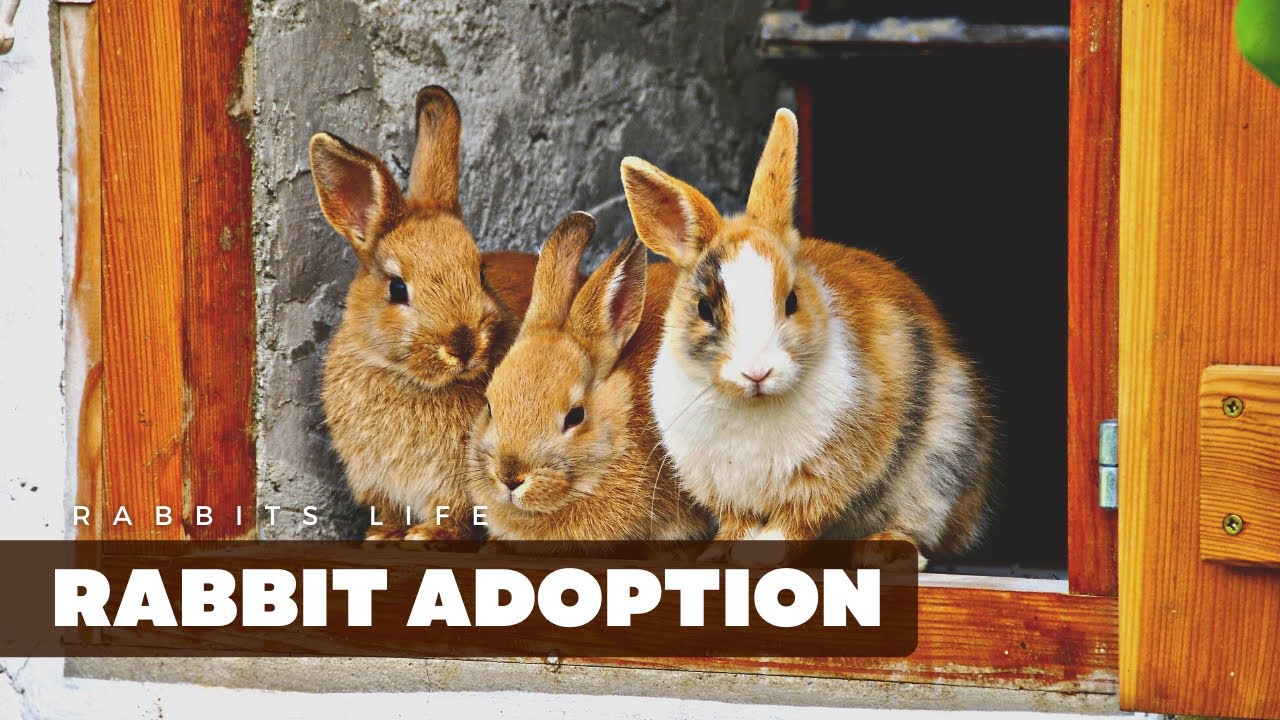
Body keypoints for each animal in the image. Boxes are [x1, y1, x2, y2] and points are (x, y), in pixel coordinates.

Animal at [309, 86, 537, 541]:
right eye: (397, 289)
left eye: (480, 271)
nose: (463, 344)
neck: (411, 380)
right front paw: (383, 537)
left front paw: (427, 536)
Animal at [618, 108, 994, 568]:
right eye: (705, 308)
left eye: (792, 300)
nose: (757, 372)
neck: (753, 405)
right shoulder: (725, 491)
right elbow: (737, 524)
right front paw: (715, 555)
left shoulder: (824, 476)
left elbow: (796, 521)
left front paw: (761, 552)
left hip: (940, 465)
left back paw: (883, 550)